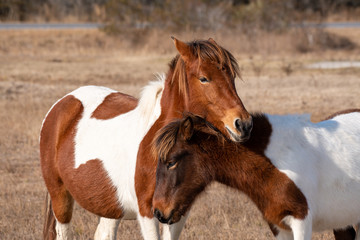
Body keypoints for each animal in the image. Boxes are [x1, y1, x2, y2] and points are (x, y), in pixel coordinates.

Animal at [40, 37, 252, 240]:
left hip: (109, 207)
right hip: (60, 198)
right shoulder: (147, 212)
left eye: (232, 77)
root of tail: (64, 101)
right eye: (204, 78)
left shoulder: (177, 212)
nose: (243, 124)